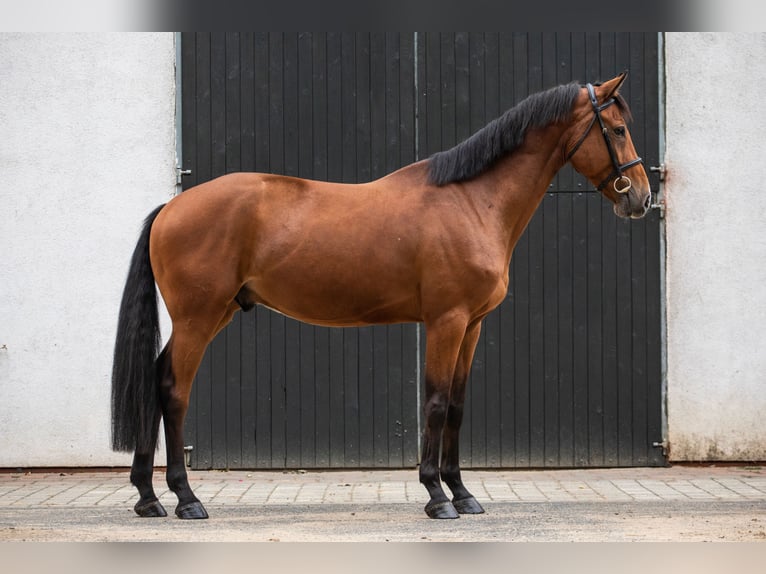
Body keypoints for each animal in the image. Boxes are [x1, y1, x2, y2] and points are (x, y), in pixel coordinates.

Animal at [112, 72, 656, 520]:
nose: (641, 198)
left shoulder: (473, 325)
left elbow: (457, 406)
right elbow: (435, 402)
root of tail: (171, 208)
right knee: (173, 391)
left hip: (213, 314)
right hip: (198, 318)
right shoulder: (446, 321)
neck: (472, 200)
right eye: (617, 129)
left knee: (155, 380)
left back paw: (148, 498)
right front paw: (437, 497)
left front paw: (464, 494)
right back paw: (186, 499)